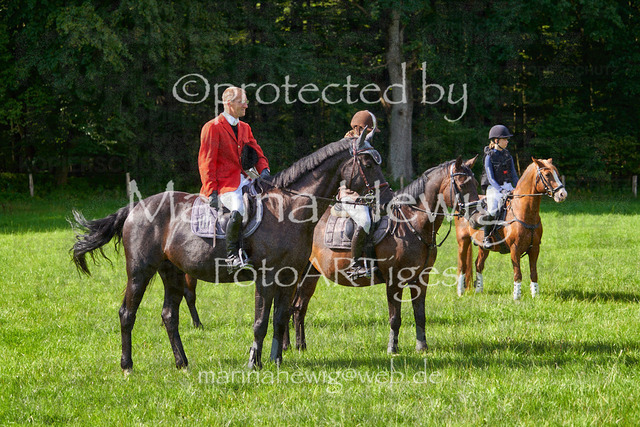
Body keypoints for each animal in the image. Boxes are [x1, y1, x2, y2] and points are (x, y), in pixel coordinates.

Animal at [70, 131, 391, 372]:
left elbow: (280, 319)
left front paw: (276, 361)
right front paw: (254, 362)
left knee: (169, 316)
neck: (289, 208)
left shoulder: (288, 278)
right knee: (127, 313)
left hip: (171, 272)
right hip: (139, 272)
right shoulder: (266, 278)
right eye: (368, 163)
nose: (387, 199)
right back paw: (127, 365)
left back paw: (182, 363)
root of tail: (135, 206)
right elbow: (261, 322)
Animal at [286, 156, 479, 354]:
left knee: (299, 307)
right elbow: (395, 317)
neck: (412, 224)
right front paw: (392, 348)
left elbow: (420, 315)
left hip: (311, 273)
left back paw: (301, 346)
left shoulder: (420, 279)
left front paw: (422, 347)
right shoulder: (394, 281)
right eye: (462, 184)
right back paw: (286, 346)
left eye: (476, 183)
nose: (477, 218)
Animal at [455, 157, 568, 300]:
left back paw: (479, 290)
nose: (563, 194)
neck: (524, 212)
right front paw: (516, 297)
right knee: (462, 266)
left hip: (483, 247)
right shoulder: (515, 248)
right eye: (547, 174)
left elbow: (534, 273)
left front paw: (535, 295)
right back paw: (460, 292)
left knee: (478, 265)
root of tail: (462, 205)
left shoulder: (535, 248)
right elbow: (517, 274)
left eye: (557, 173)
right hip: (463, 242)